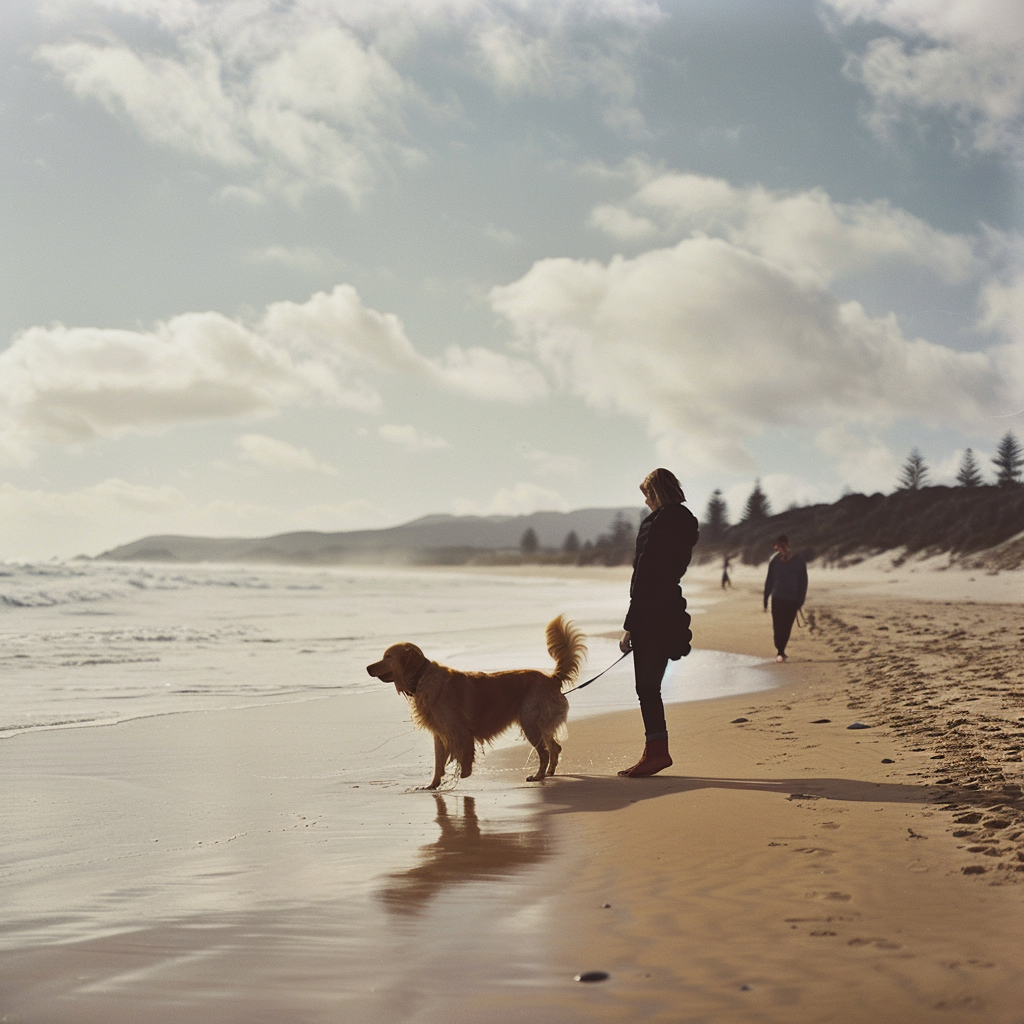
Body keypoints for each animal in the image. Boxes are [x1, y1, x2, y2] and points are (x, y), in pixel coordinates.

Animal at [370, 614, 589, 790]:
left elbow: (464, 751)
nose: (367, 667)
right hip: (538, 723)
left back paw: (539, 775)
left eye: (388, 657)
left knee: (544, 752)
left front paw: (464, 772)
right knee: (555, 747)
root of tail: (552, 678)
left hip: (530, 721)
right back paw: (550, 772)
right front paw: (432, 785)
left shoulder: (458, 729)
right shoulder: (440, 733)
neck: (422, 676)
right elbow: (438, 763)